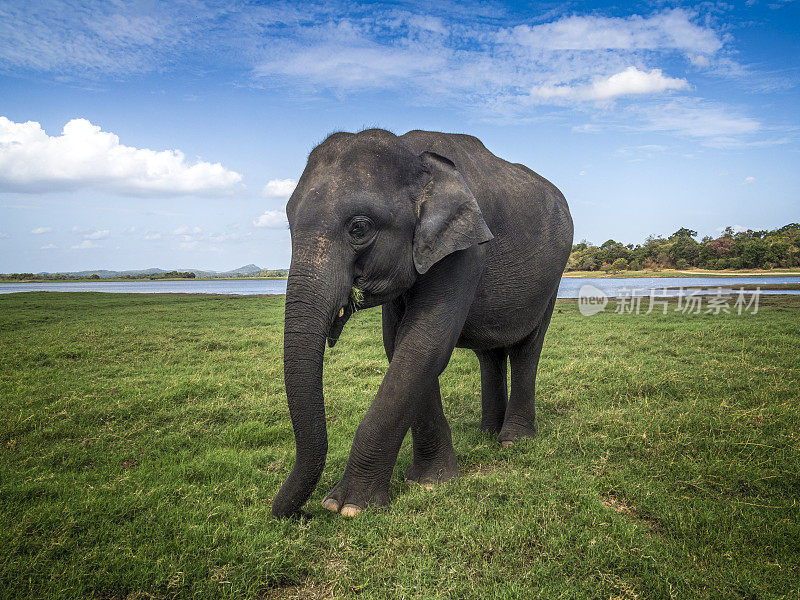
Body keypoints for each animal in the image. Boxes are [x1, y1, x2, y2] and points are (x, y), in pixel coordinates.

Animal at [272, 129, 572, 516]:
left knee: (527, 347)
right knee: (490, 354)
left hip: (553, 277)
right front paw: (429, 482)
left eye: (359, 228)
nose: (301, 515)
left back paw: (512, 441)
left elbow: (423, 344)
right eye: (289, 225)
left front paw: (347, 506)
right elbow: (400, 343)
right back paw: (486, 434)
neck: (412, 152)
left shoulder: (465, 249)